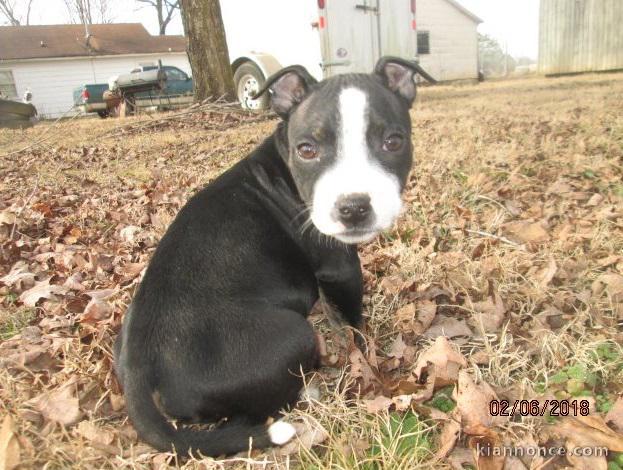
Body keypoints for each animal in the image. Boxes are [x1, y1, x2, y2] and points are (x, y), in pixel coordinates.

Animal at [114, 55, 422, 456]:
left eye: (393, 142)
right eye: (307, 149)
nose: (353, 207)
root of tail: (140, 367)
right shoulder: (341, 268)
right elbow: (356, 324)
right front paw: (368, 356)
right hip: (294, 335)